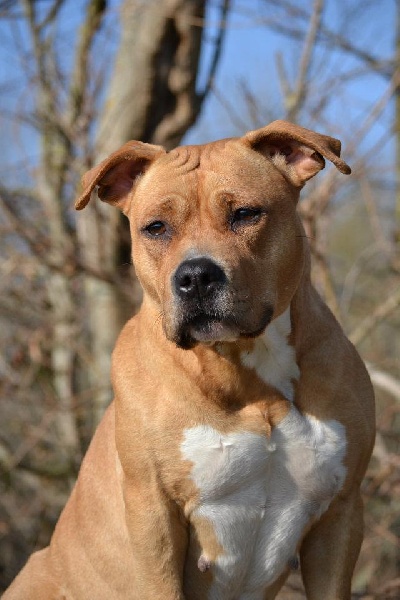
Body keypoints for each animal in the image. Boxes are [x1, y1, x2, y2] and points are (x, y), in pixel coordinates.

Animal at [4, 122, 376, 600]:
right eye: (156, 228)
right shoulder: (153, 516)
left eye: (245, 214)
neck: (247, 371)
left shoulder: (340, 513)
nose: (196, 275)